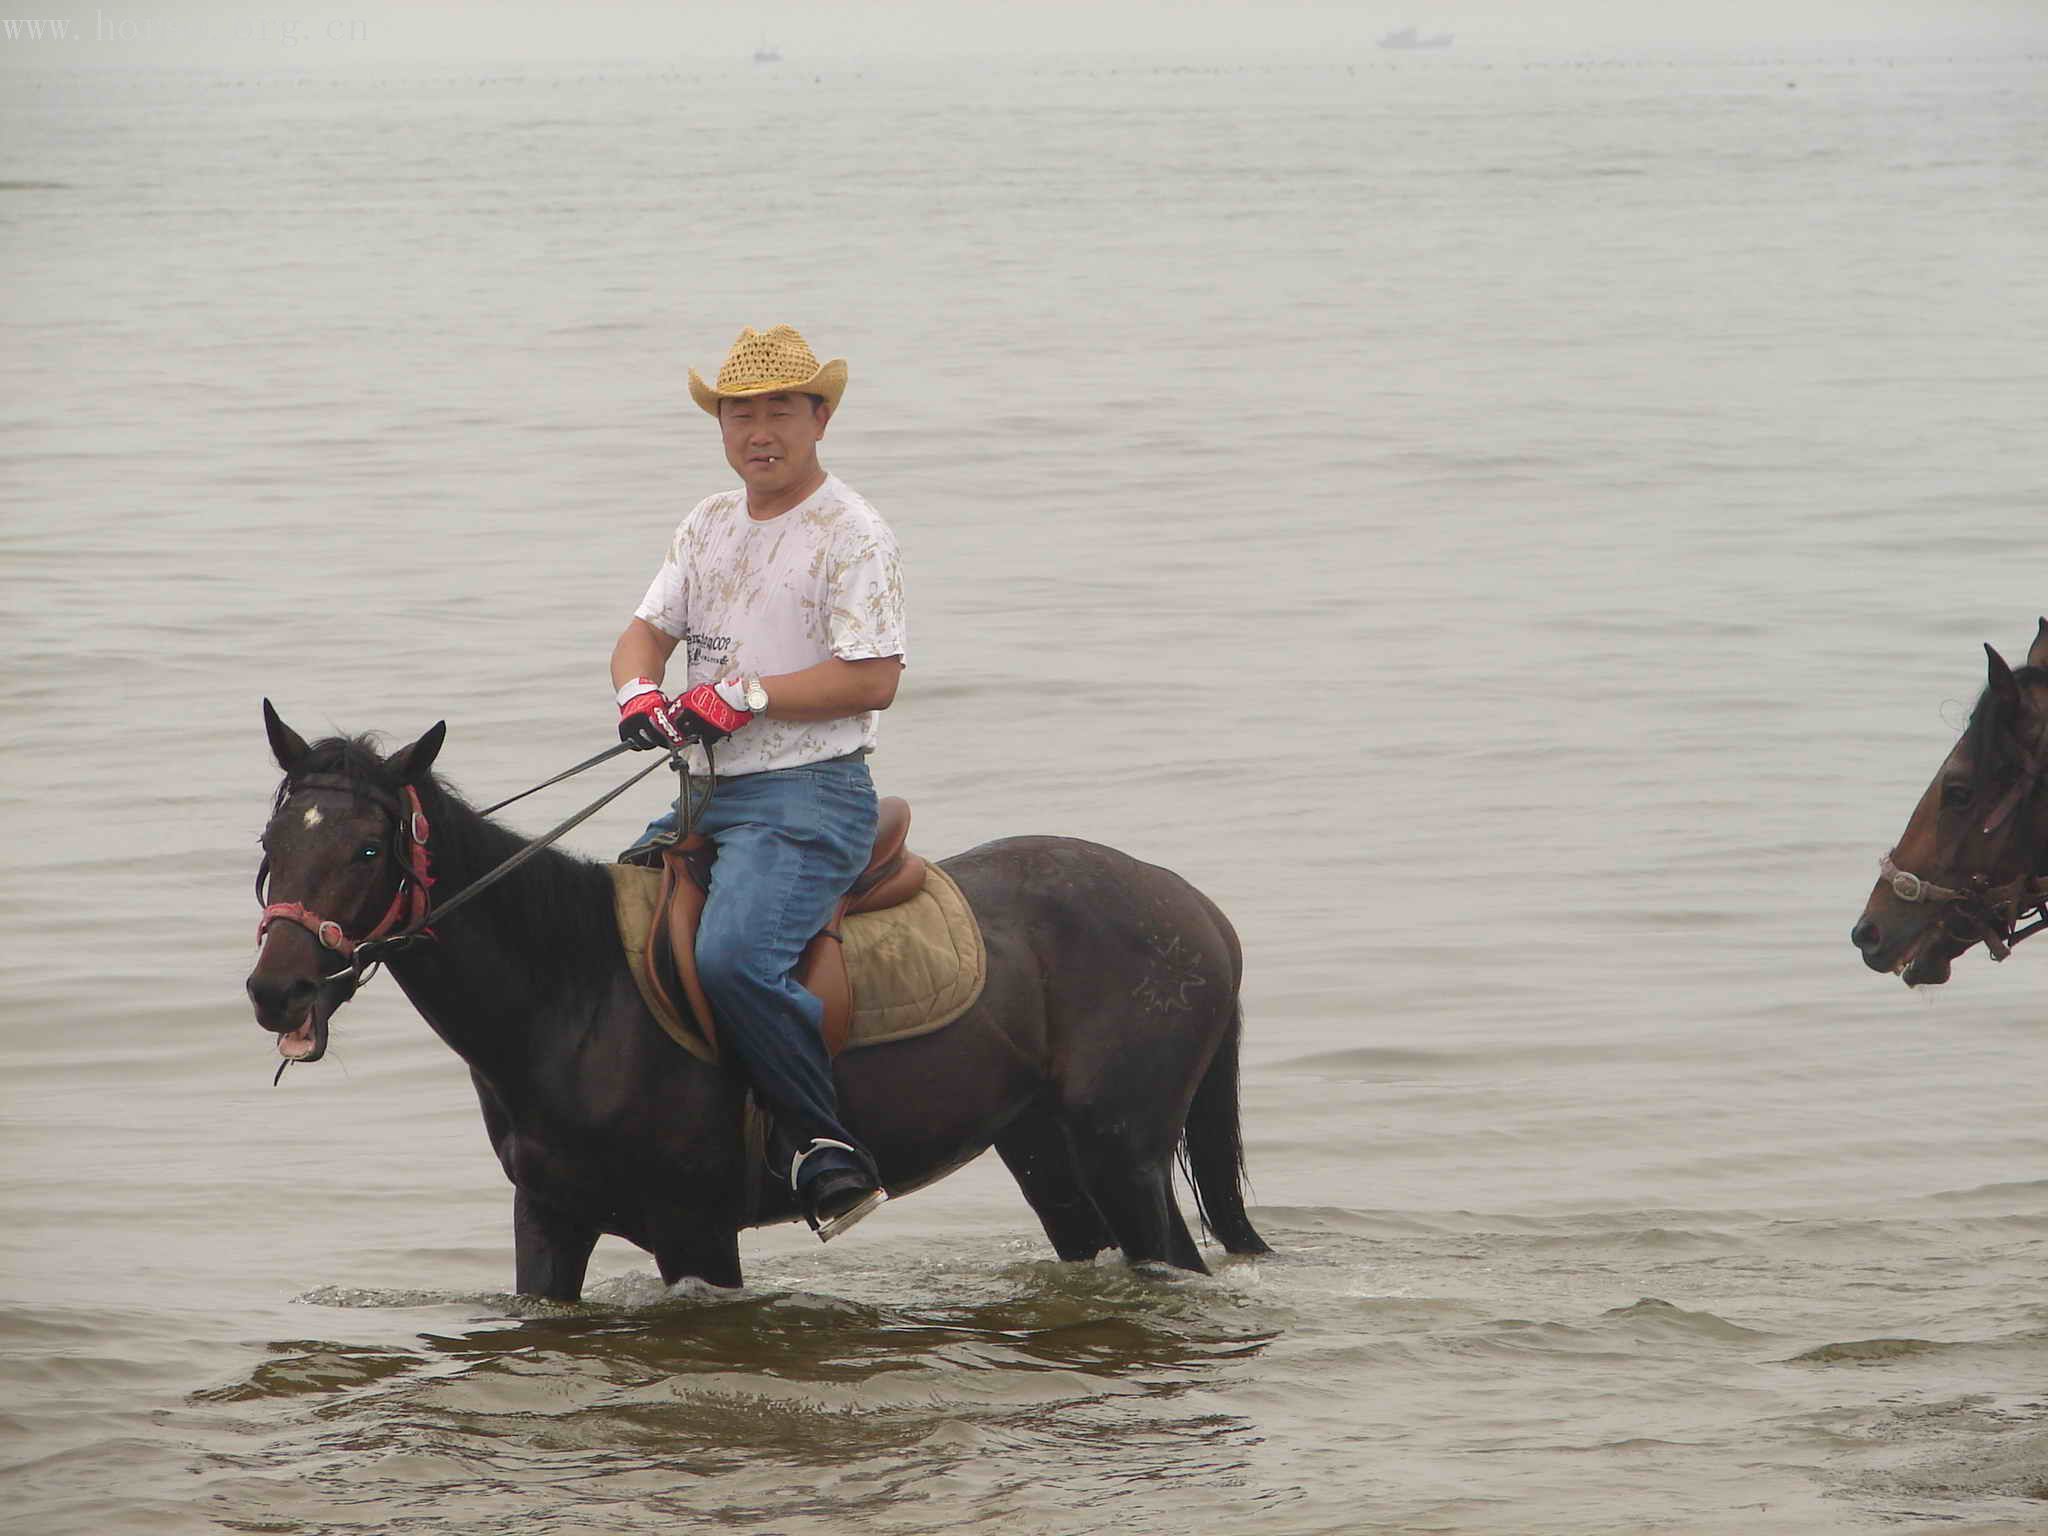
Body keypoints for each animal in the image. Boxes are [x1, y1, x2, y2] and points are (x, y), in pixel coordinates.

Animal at [239, 708, 1261, 1302]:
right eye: (272, 842)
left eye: (369, 849)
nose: (276, 990)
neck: (576, 995)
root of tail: (1196, 907)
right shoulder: (549, 1220)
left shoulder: (695, 1233)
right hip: (1044, 1149)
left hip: (1124, 1152)